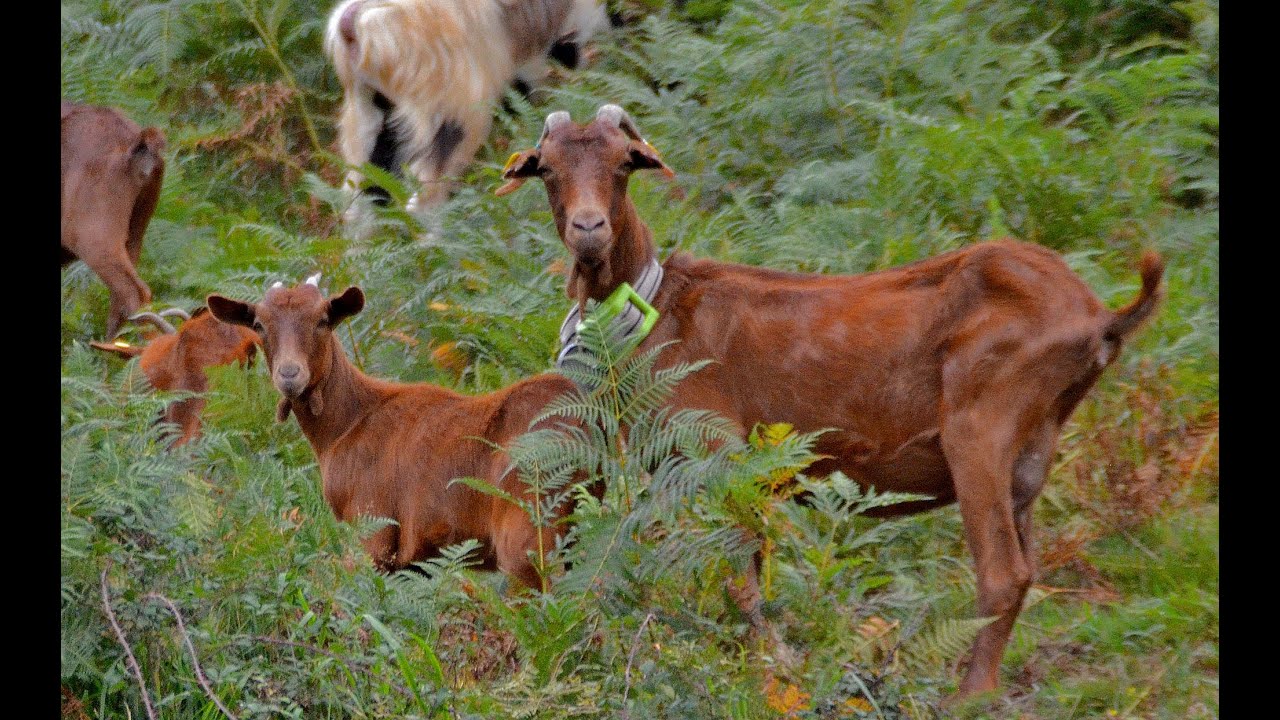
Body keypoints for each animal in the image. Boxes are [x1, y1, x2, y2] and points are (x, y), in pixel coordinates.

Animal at [207, 276, 592, 588]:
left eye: (322, 320)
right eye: (259, 324)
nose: (289, 374)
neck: (343, 429)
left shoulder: (372, 529)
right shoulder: (415, 562)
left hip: (528, 526)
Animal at [497, 106, 1166, 698]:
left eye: (623, 164)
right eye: (548, 169)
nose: (589, 230)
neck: (654, 310)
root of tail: (1099, 318)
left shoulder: (717, 448)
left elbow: (741, 582)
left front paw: (767, 675)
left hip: (982, 427)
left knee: (1004, 573)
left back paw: (968, 695)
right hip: (1030, 453)